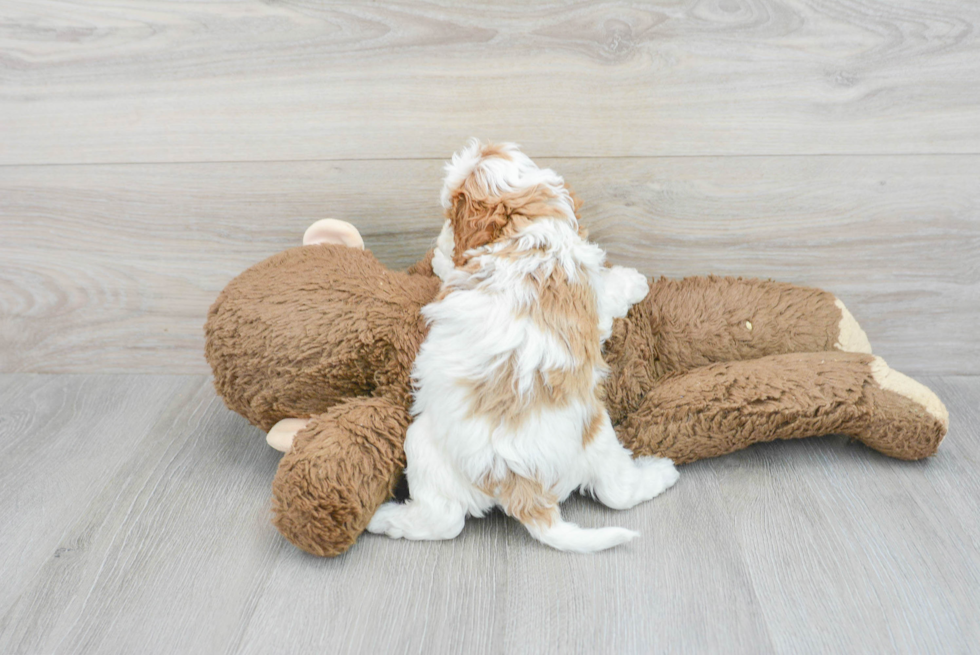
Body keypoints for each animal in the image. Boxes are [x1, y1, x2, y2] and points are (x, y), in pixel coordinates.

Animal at [368, 140, 680, 552]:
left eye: (451, 211)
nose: (442, 233)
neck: (529, 229)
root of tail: (519, 481)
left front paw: (439, 252)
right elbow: (607, 292)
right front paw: (635, 281)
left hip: (423, 442)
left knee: (444, 520)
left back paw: (386, 520)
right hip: (596, 437)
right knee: (618, 492)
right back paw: (662, 472)